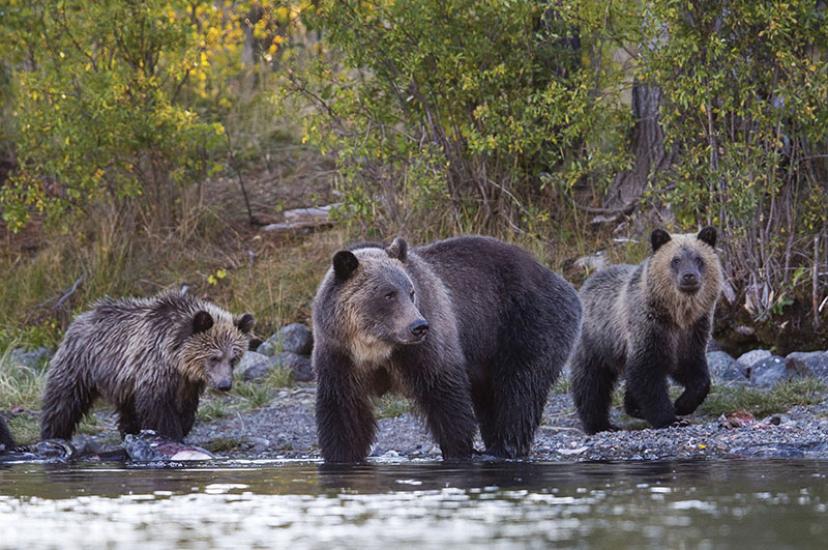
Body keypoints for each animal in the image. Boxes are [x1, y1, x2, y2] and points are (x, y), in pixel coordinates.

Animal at [40, 289, 255, 442]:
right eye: (214, 357)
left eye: (233, 358)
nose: (225, 384)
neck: (176, 358)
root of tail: (81, 316)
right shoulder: (154, 368)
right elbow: (158, 408)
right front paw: (172, 434)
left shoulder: (186, 383)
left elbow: (186, 407)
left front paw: (183, 425)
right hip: (81, 363)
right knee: (64, 400)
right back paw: (53, 435)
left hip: (122, 381)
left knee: (127, 410)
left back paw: (129, 432)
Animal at [312, 235, 582, 462]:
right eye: (388, 294)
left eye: (411, 291)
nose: (419, 326)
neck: (376, 346)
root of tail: (556, 277)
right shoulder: (340, 356)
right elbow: (343, 412)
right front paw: (341, 455)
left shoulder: (424, 349)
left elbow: (445, 396)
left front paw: (457, 451)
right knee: (492, 397)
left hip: (526, 322)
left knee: (519, 388)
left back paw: (505, 448)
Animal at [570, 226, 723, 434]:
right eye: (675, 260)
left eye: (699, 259)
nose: (689, 276)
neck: (676, 315)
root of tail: (586, 283)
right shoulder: (649, 328)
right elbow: (647, 375)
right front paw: (670, 418)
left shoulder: (693, 332)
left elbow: (695, 370)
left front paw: (683, 404)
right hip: (595, 340)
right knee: (591, 382)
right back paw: (600, 424)